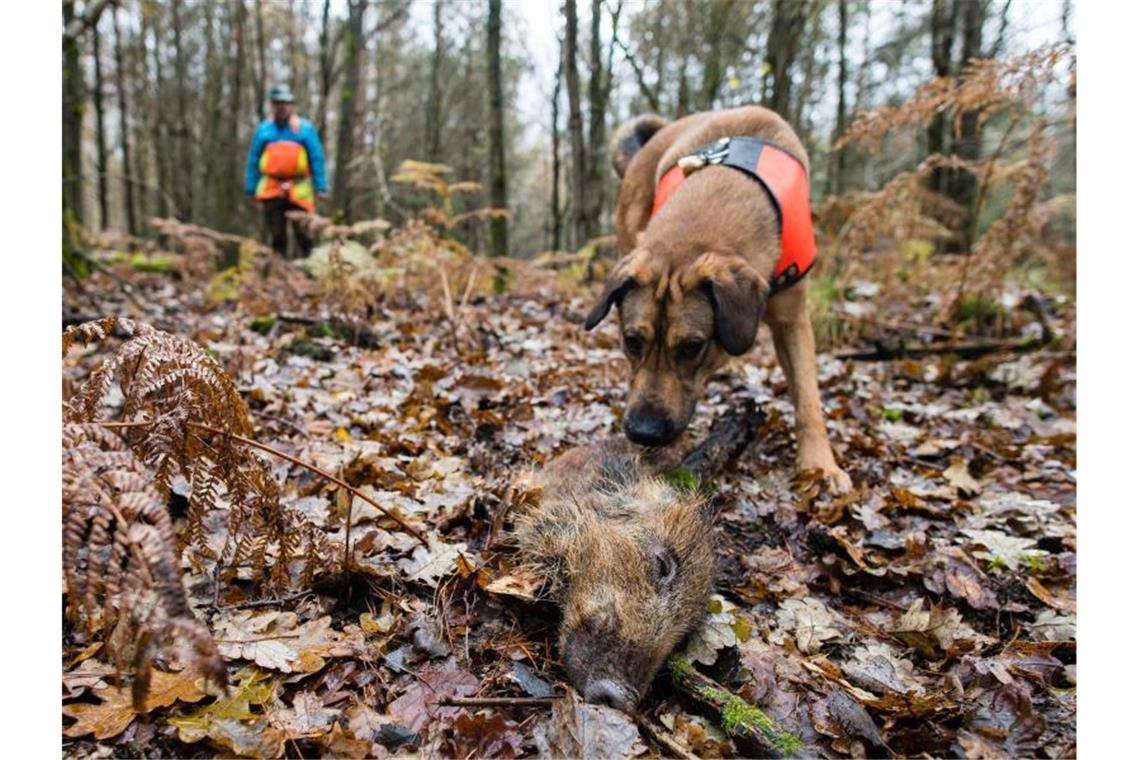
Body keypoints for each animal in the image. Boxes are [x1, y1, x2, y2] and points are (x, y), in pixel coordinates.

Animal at [588, 107, 848, 494]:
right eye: (631, 341)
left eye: (692, 347)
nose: (644, 433)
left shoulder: (793, 320)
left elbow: (807, 399)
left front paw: (820, 465)